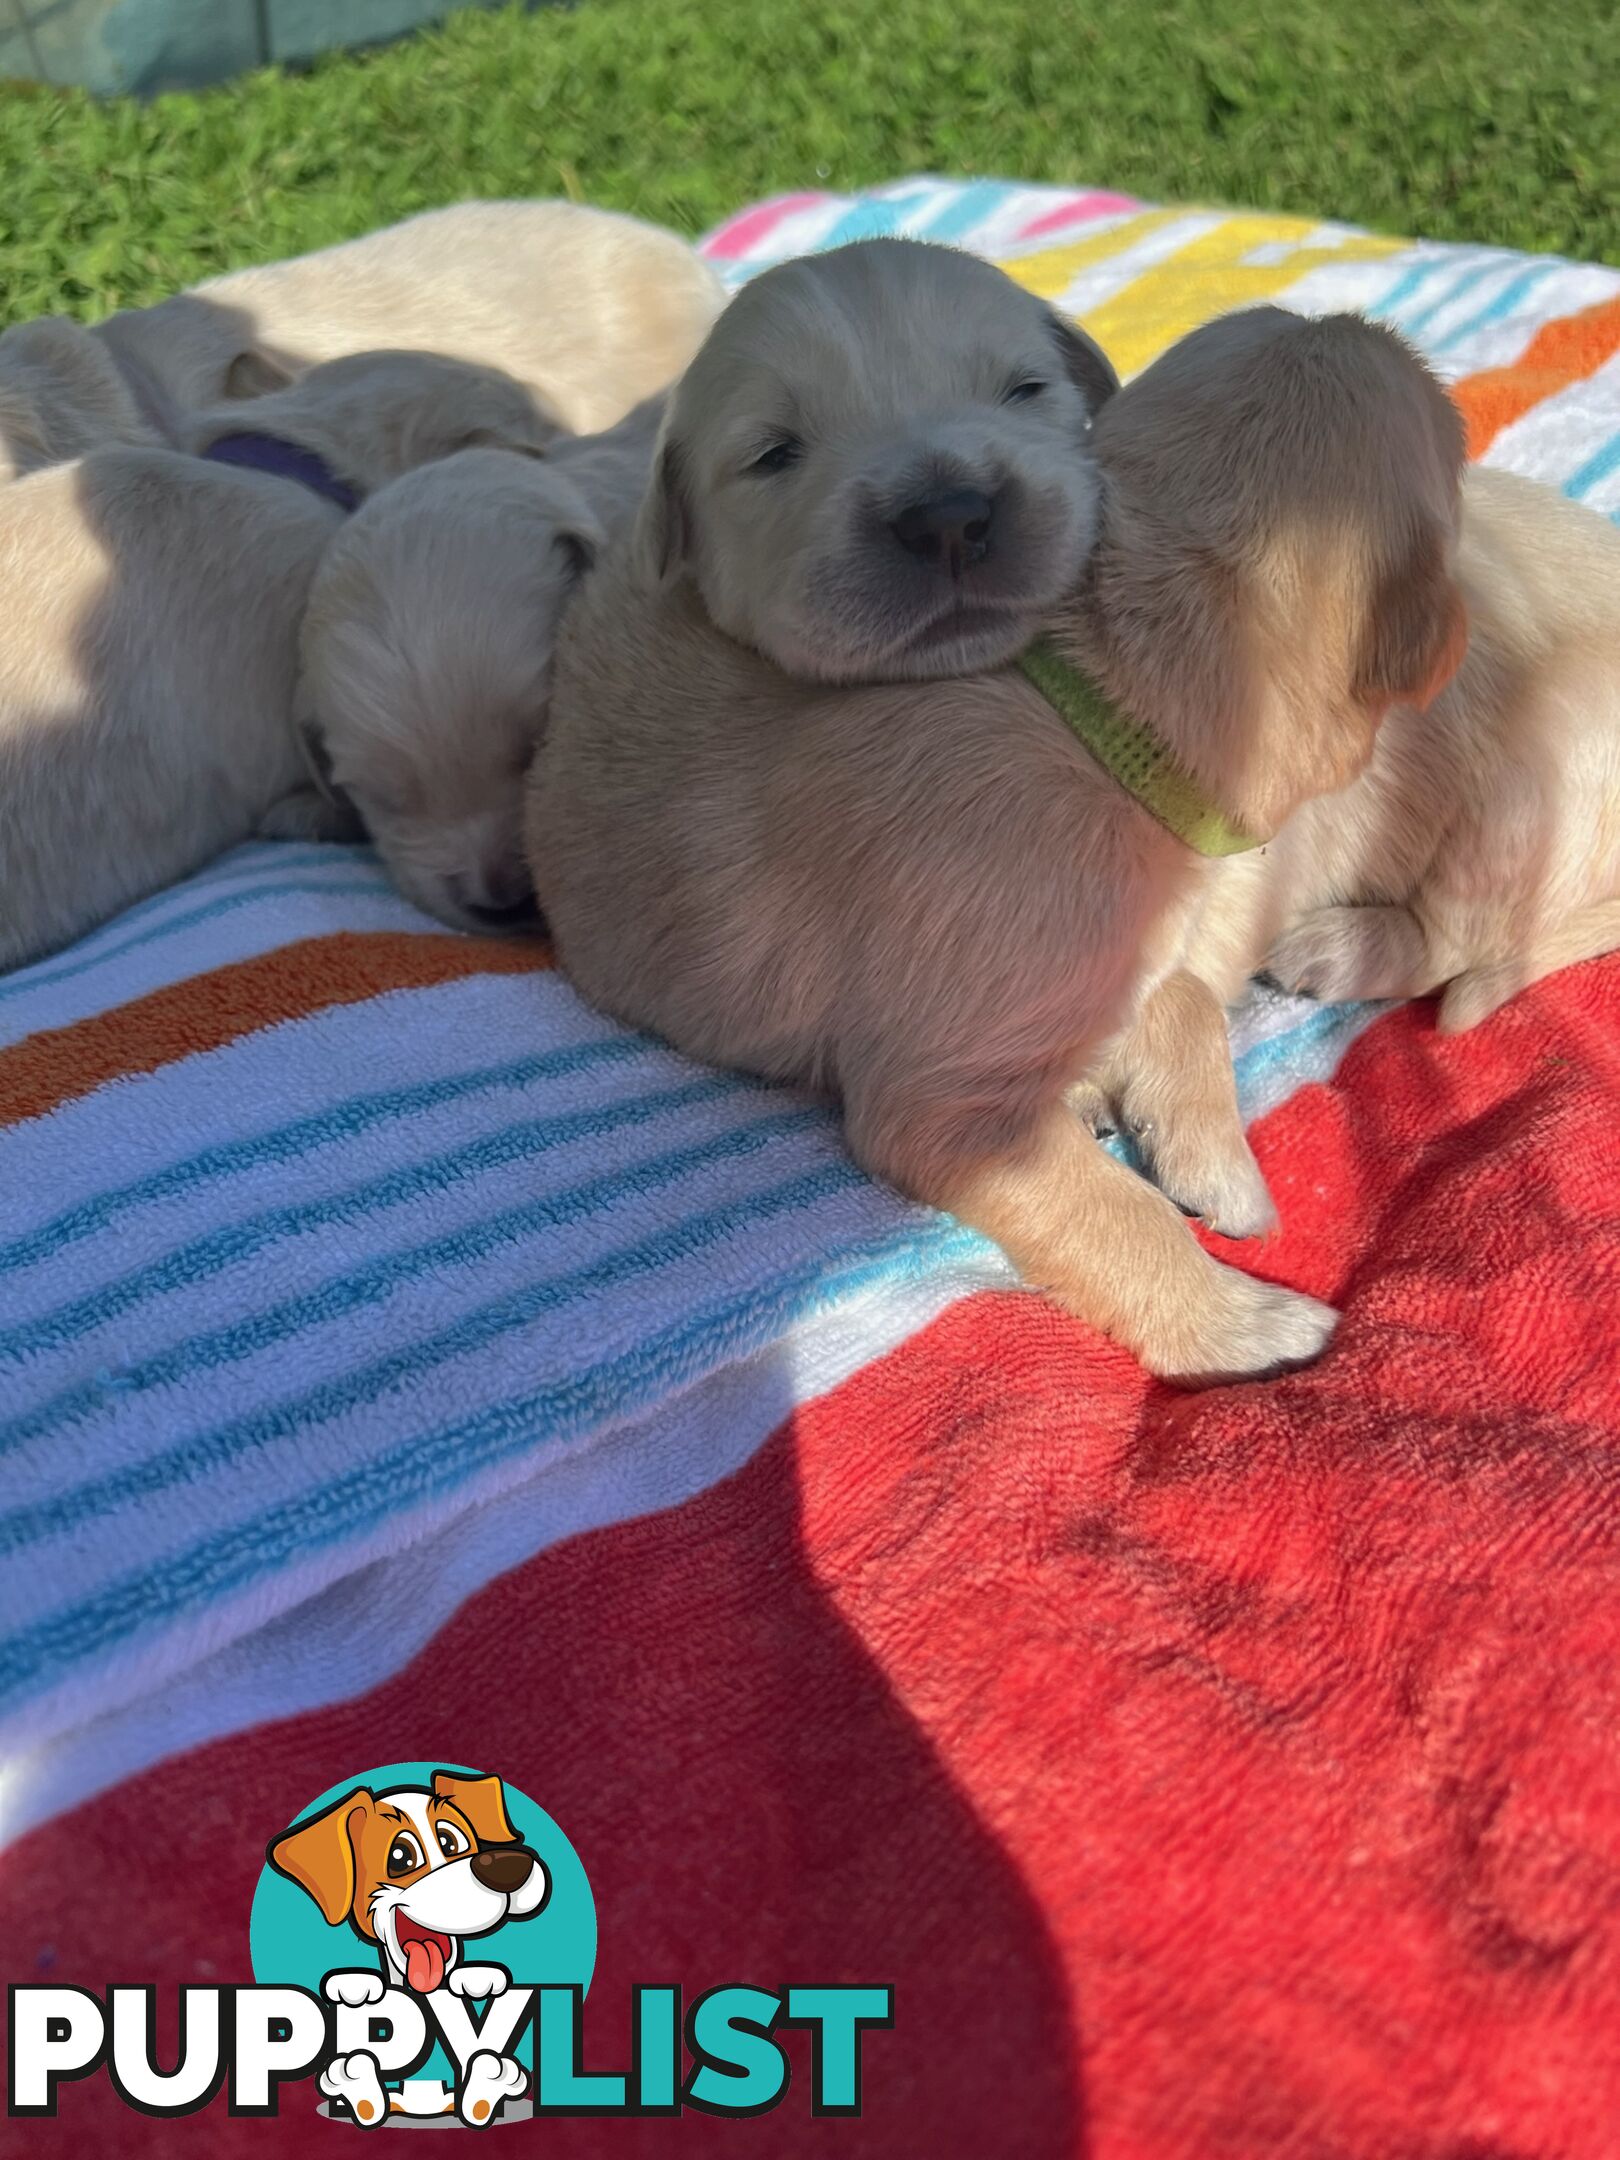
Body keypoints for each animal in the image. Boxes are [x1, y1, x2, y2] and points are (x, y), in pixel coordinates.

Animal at [533, 304, 1468, 1382]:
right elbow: (1118, 1215)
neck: (1108, 708)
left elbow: (1184, 998)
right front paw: (1241, 1322)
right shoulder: (946, 1105)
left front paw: (1214, 1161)